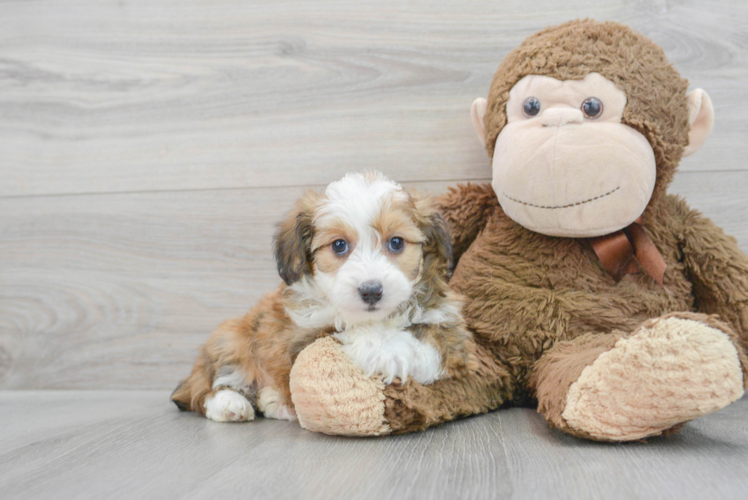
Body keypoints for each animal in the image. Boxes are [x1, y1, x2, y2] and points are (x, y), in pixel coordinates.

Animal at [172, 171, 470, 422]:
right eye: (339, 245)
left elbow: (436, 345)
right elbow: (338, 331)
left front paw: (401, 352)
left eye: (396, 242)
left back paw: (273, 401)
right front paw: (388, 350)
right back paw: (231, 404)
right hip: (231, 338)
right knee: (207, 388)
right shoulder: (298, 336)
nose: (371, 291)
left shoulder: (448, 326)